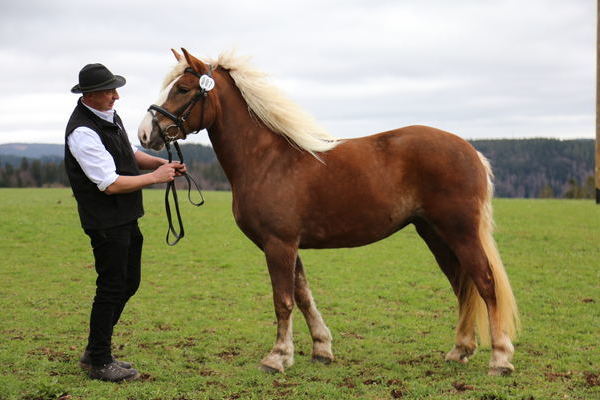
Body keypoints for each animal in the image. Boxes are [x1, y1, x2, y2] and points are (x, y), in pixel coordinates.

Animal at [138, 49, 516, 376]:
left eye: (183, 89)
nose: (145, 133)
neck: (267, 159)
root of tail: (470, 150)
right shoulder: (288, 245)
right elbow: (303, 296)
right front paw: (321, 349)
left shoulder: (278, 244)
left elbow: (283, 300)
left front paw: (277, 357)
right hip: (435, 234)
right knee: (462, 285)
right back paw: (460, 350)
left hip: (460, 232)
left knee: (485, 283)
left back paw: (500, 359)